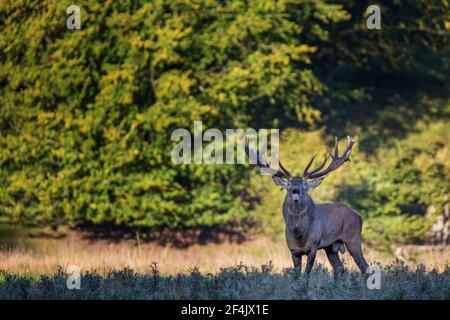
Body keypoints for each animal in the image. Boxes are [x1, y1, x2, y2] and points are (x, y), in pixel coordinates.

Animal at [246, 136, 370, 278]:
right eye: (289, 184)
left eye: (304, 184)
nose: (295, 190)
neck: (300, 237)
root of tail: (358, 215)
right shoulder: (293, 250)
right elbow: (296, 275)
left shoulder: (313, 246)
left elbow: (306, 276)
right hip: (331, 247)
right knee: (339, 268)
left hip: (353, 238)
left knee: (364, 266)